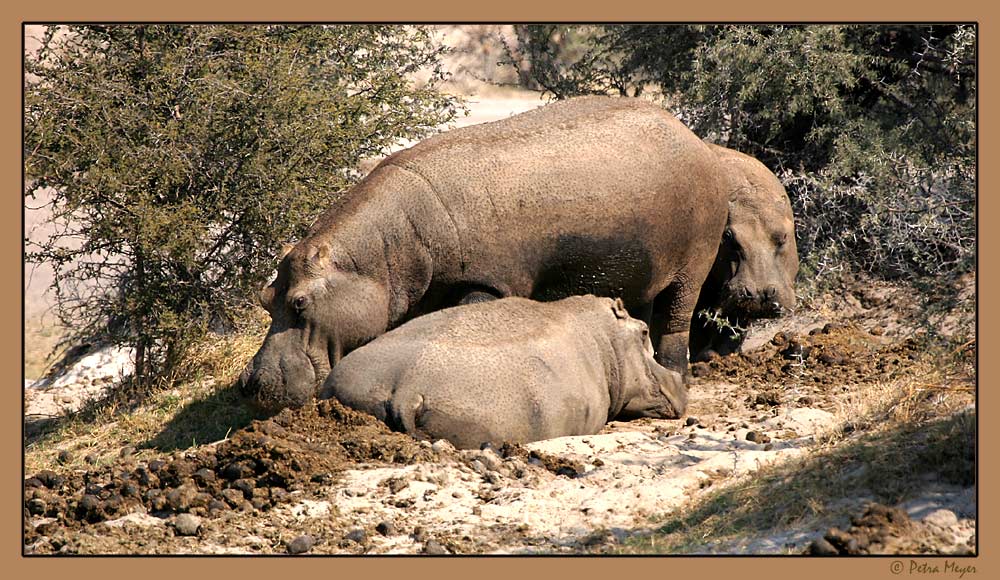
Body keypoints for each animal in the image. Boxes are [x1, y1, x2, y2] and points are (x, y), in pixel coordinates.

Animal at [241, 95, 728, 410]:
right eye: (264, 296)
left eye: (300, 302)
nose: (249, 382)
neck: (379, 257)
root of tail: (692, 137)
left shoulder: (487, 283)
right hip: (639, 269)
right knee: (644, 308)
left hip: (692, 266)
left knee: (675, 320)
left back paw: (679, 374)